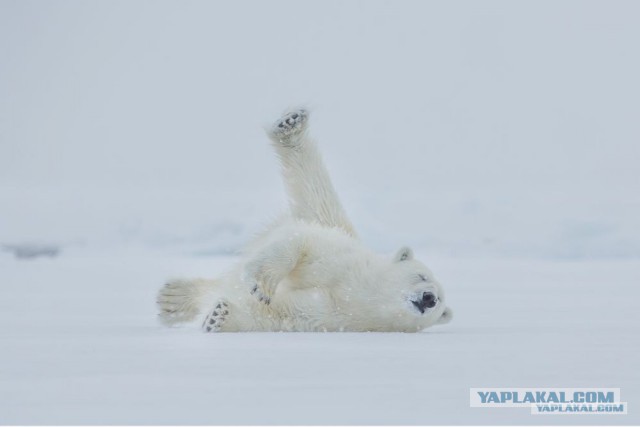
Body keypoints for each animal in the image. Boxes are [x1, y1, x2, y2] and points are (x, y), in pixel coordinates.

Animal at [158, 108, 452, 332]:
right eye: (421, 275)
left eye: (440, 303)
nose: (429, 298)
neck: (360, 292)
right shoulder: (340, 260)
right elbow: (303, 245)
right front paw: (261, 283)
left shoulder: (337, 316)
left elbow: (281, 314)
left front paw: (220, 316)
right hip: (327, 220)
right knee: (315, 190)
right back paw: (291, 126)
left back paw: (171, 300)